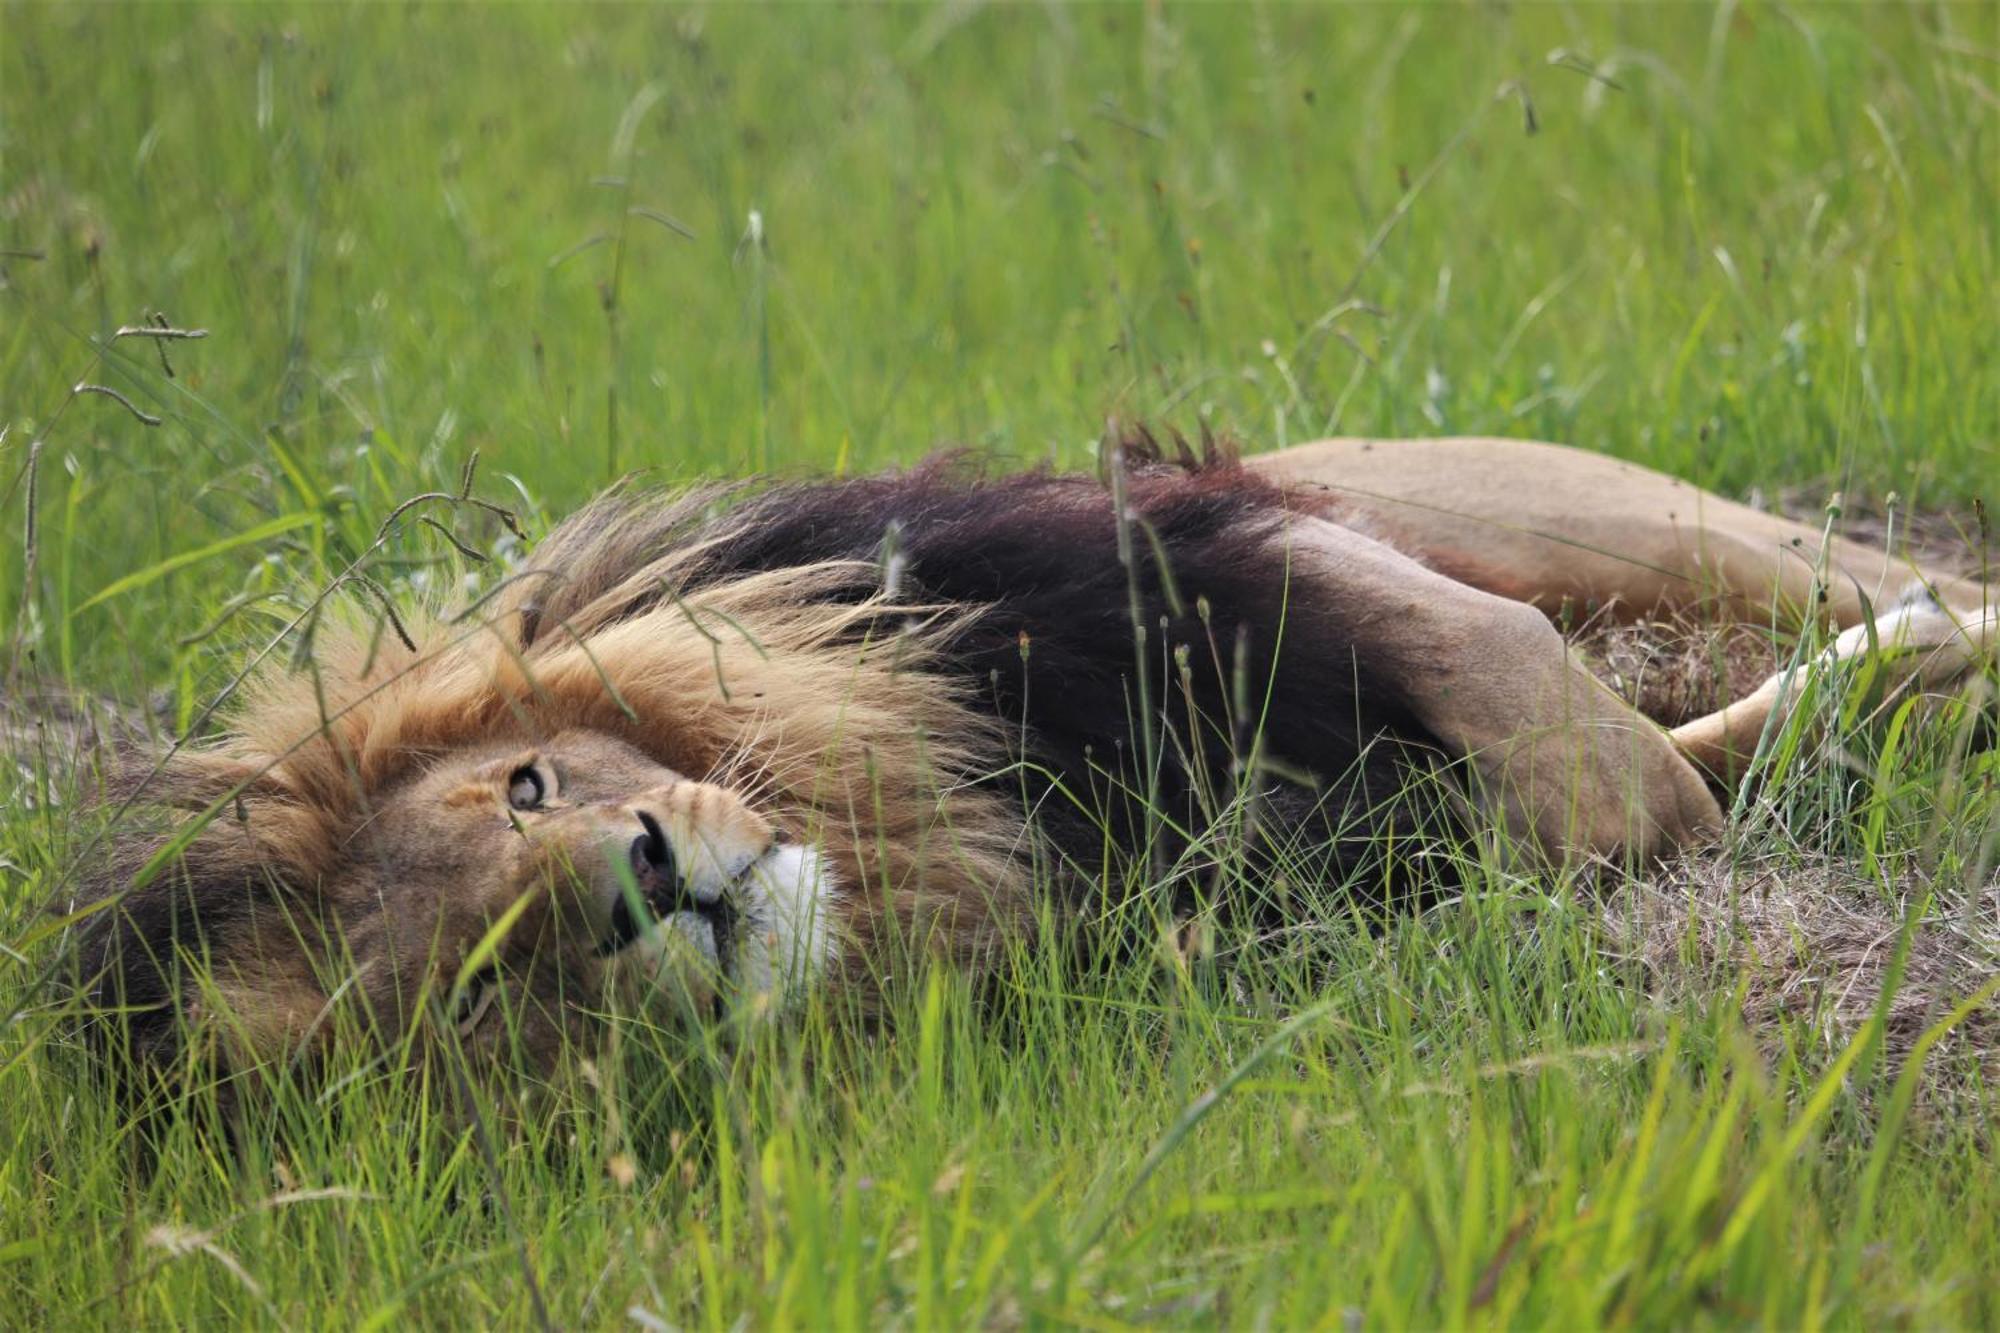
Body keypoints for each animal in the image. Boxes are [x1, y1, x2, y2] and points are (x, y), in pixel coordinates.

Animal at [70, 436, 1992, 1088]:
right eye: (487, 985)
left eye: (529, 787)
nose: (640, 881)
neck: (931, 837)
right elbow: (1638, 792)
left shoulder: (1169, 565)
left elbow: (1572, 739)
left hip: (1562, 501)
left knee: (1843, 579)